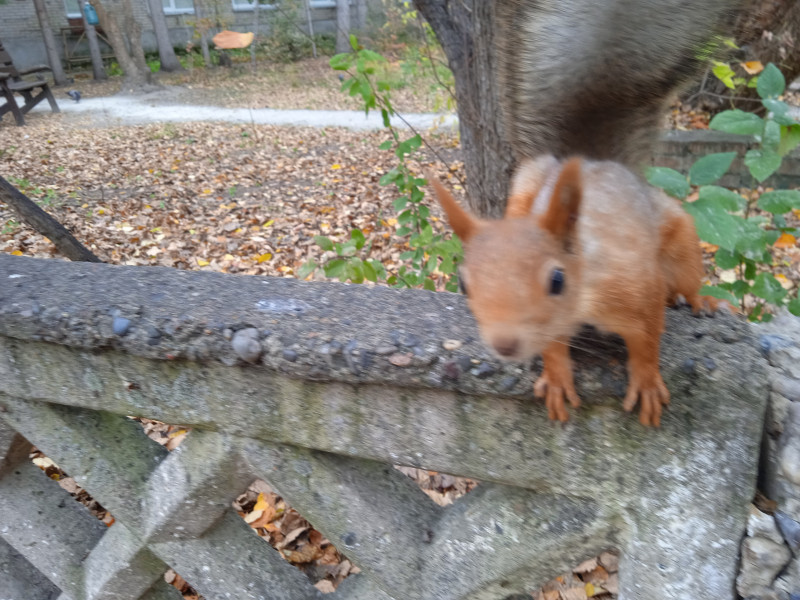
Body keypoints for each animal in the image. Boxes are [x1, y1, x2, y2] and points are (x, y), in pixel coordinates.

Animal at [429, 0, 738, 426]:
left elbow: (647, 338)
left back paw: (701, 301)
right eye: (463, 284)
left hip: (681, 241)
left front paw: (646, 381)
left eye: (557, 280)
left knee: (686, 280)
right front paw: (557, 376)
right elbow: (553, 347)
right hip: (525, 185)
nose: (506, 345)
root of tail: (595, 162)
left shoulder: (637, 287)